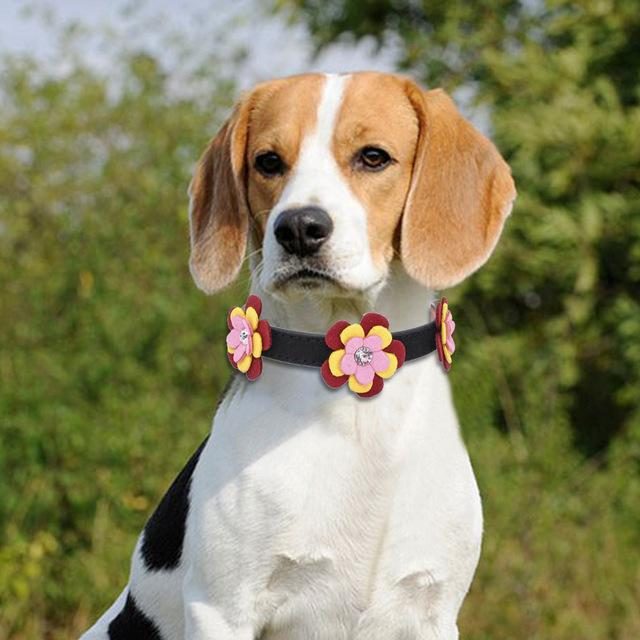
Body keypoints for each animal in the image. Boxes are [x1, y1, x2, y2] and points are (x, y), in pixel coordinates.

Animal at [84, 71, 516, 640]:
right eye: (268, 161)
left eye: (373, 157)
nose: (298, 228)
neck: (355, 403)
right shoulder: (223, 610)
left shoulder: (431, 610)